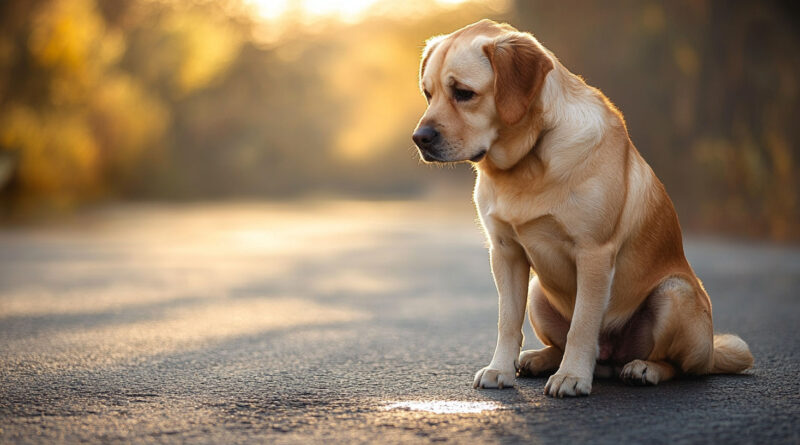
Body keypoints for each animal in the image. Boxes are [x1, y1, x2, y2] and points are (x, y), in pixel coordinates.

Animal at [410, 20, 752, 396]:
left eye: (463, 93)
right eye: (428, 94)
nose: (419, 138)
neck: (529, 160)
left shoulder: (593, 254)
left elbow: (583, 325)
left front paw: (572, 375)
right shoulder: (505, 252)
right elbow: (507, 321)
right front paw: (500, 369)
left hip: (674, 293)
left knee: (680, 367)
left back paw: (643, 368)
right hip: (537, 293)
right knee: (560, 343)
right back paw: (538, 359)